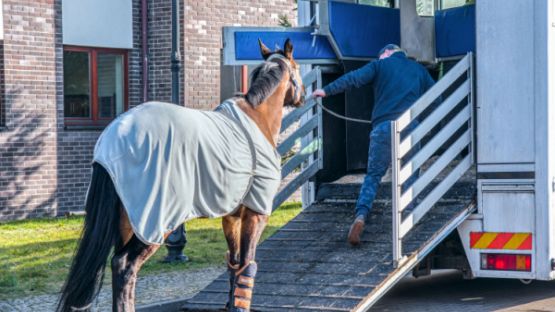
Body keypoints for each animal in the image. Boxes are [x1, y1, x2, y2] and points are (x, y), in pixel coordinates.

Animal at [57, 39, 304, 312]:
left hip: (127, 222)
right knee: (125, 265)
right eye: (298, 68)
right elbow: (247, 264)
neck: (256, 117)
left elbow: (234, 264)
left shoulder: (232, 216)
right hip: (154, 222)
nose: (303, 97)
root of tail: (112, 141)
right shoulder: (255, 213)